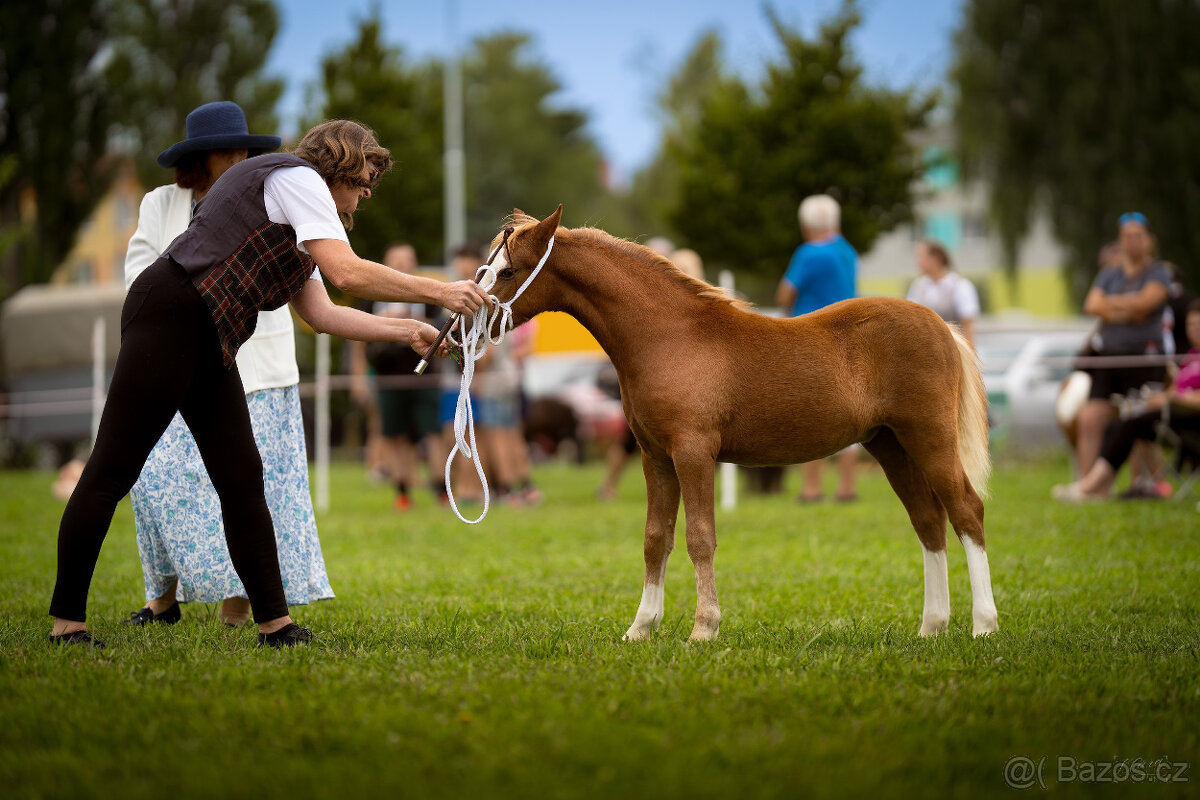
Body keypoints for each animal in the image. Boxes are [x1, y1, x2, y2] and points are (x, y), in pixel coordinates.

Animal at [484, 206, 998, 642]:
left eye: (508, 271)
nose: (473, 319)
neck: (668, 336)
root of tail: (941, 326)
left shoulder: (693, 452)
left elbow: (699, 537)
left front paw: (703, 628)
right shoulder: (656, 458)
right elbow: (655, 539)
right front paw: (641, 628)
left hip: (930, 438)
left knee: (966, 511)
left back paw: (983, 626)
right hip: (890, 445)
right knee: (928, 520)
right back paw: (932, 627)